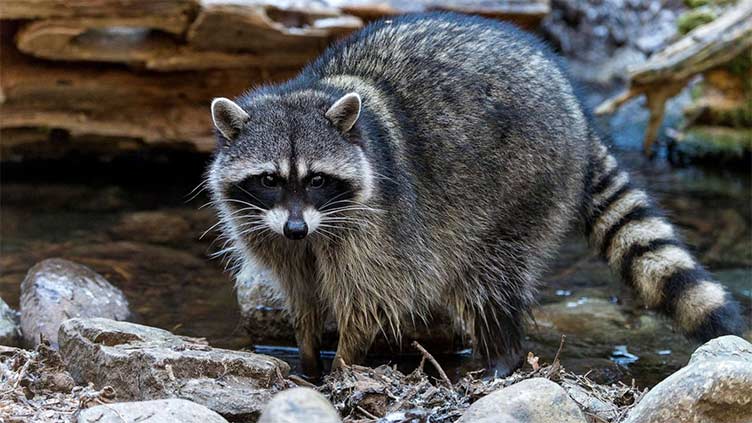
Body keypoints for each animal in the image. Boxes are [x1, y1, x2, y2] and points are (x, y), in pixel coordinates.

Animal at [204, 12, 740, 378]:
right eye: (270, 180)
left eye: (316, 179)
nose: (296, 227)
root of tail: (576, 109)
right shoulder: (270, 230)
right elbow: (301, 294)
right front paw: (309, 355)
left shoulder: (378, 225)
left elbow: (369, 299)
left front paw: (344, 365)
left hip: (525, 185)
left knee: (487, 281)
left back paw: (500, 357)